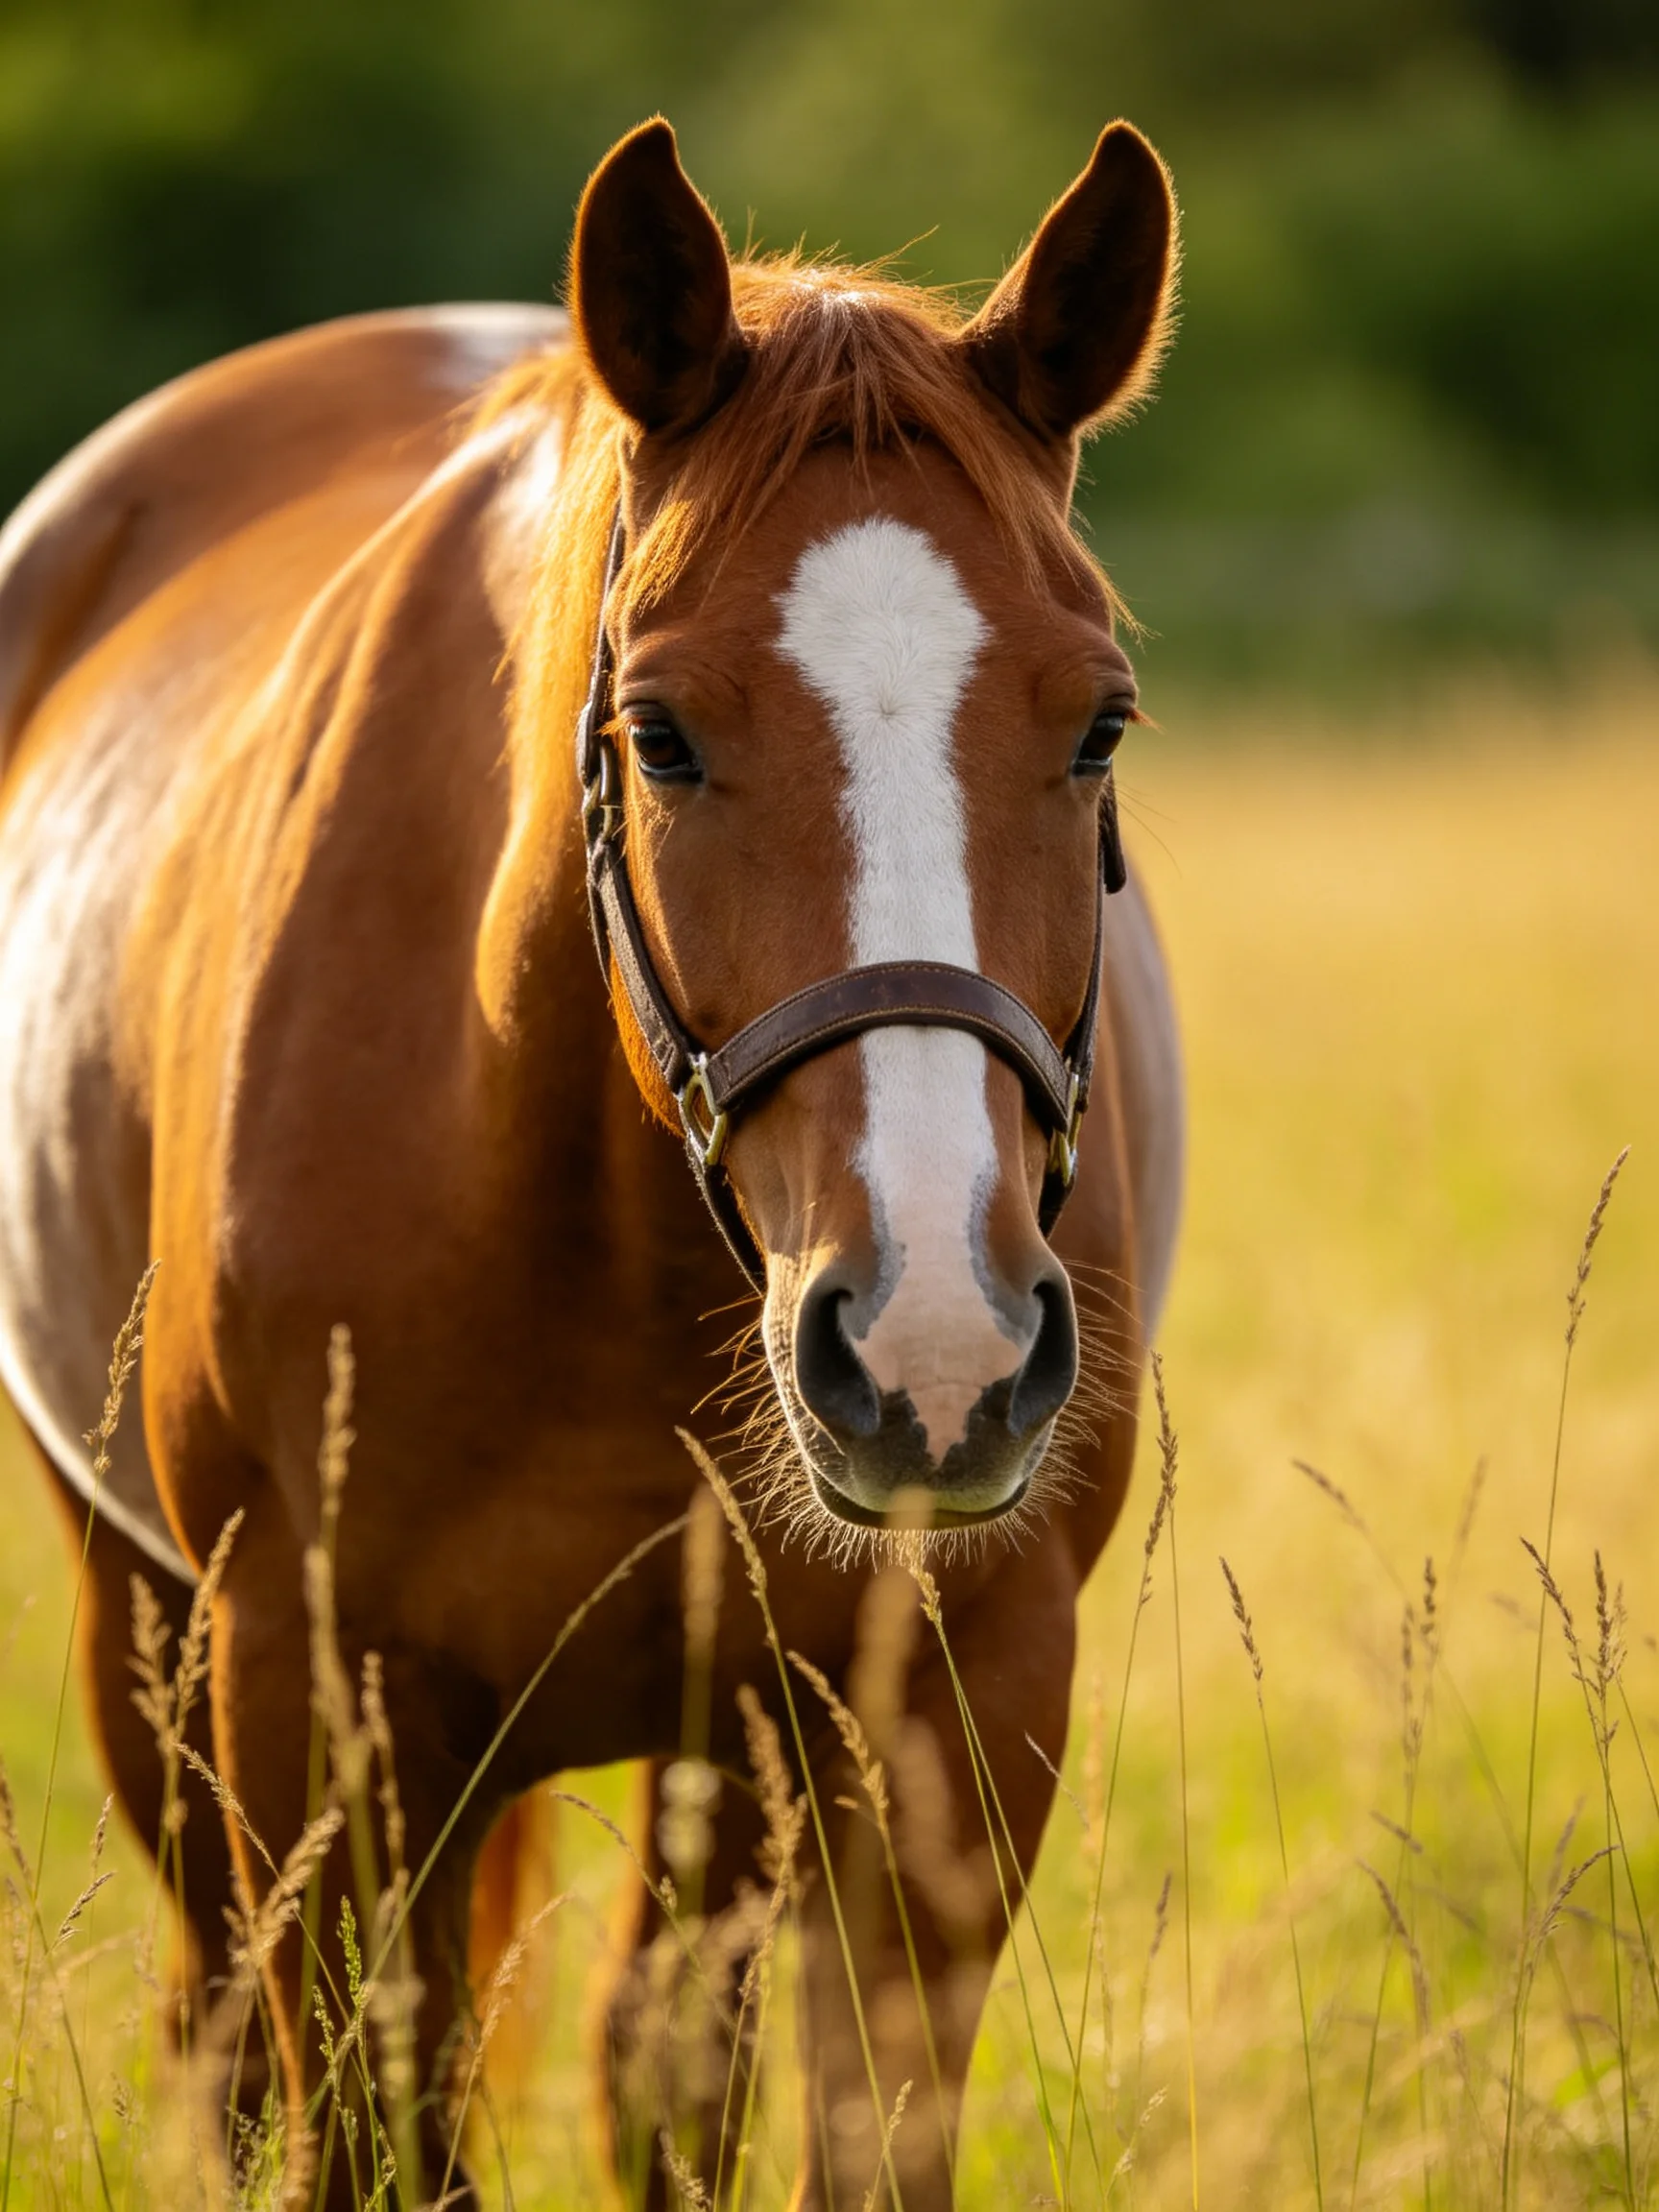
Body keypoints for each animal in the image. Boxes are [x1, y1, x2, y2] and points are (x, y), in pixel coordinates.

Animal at [0, 116, 1182, 2207]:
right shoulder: (319, 1708)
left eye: (1098, 721)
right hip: (149, 1634)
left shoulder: (960, 1712)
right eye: (663, 731)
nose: (935, 1353)